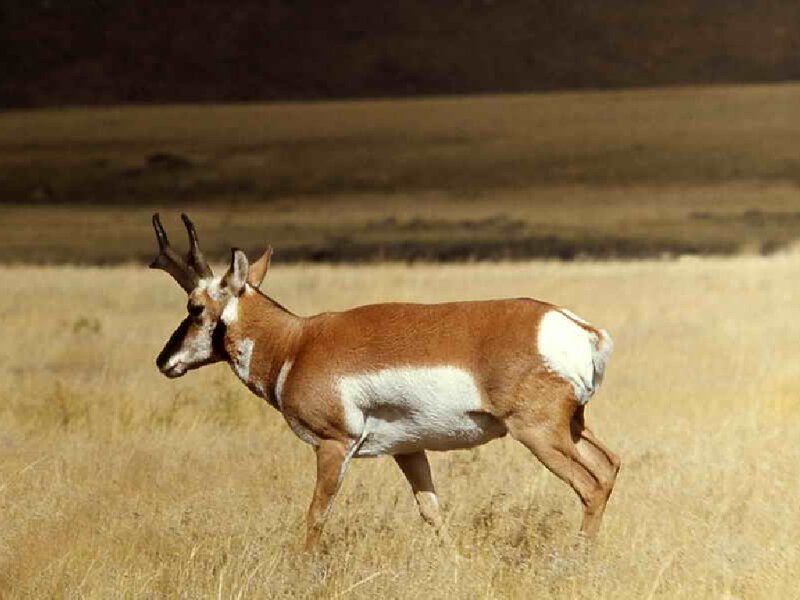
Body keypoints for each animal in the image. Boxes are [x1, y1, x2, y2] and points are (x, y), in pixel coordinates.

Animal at [150, 213, 620, 550]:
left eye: (195, 307)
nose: (163, 361)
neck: (296, 343)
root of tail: (574, 326)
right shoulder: (408, 450)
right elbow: (431, 511)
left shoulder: (333, 446)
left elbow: (316, 515)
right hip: (572, 427)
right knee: (610, 466)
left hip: (537, 433)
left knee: (590, 484)